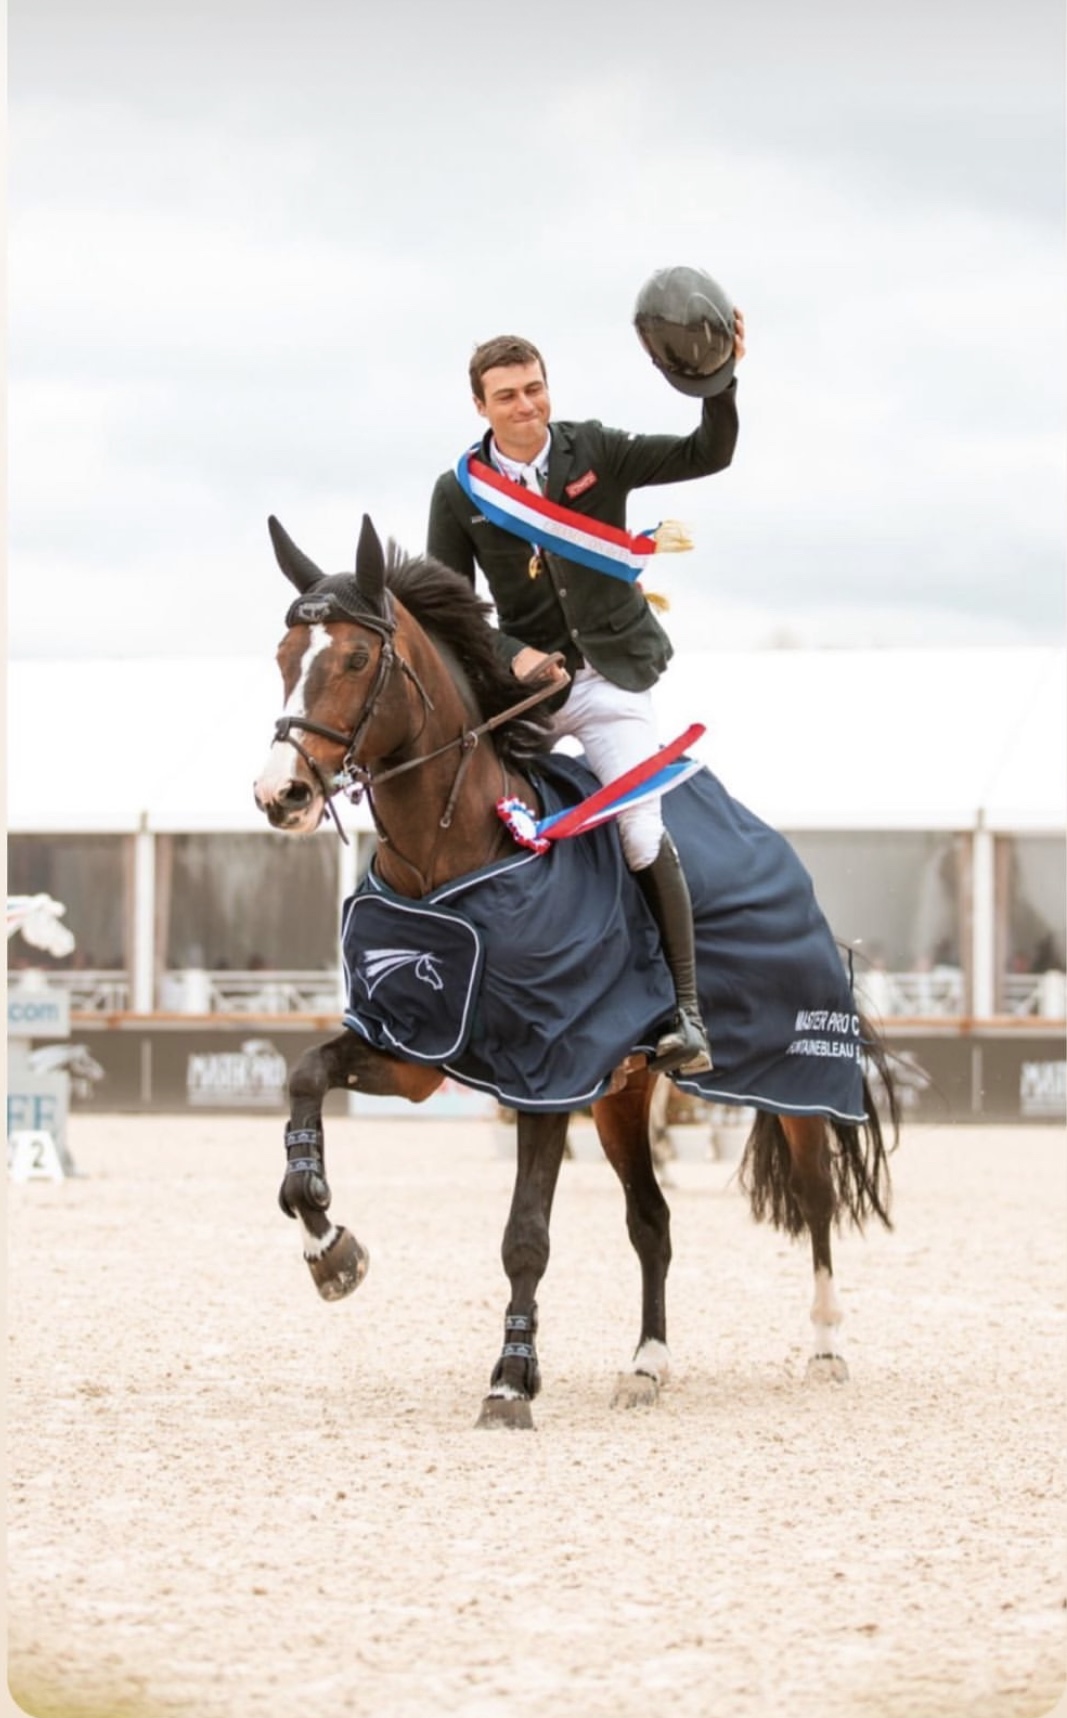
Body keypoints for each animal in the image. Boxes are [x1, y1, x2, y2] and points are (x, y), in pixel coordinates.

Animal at [254, 515, 893, 1429]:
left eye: (353, 658)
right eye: (283, 653)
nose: (281, 795)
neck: (451, 856)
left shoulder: (546, 1073)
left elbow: (525, 1235)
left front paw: (509, 1382)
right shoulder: (413, 1050)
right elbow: (305, 1080)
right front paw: (327, 1246)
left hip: (797, 1076)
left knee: (814, 1196)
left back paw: (825, 1345)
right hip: (624, 1093)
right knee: (651, 1221)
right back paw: (647, 1364)